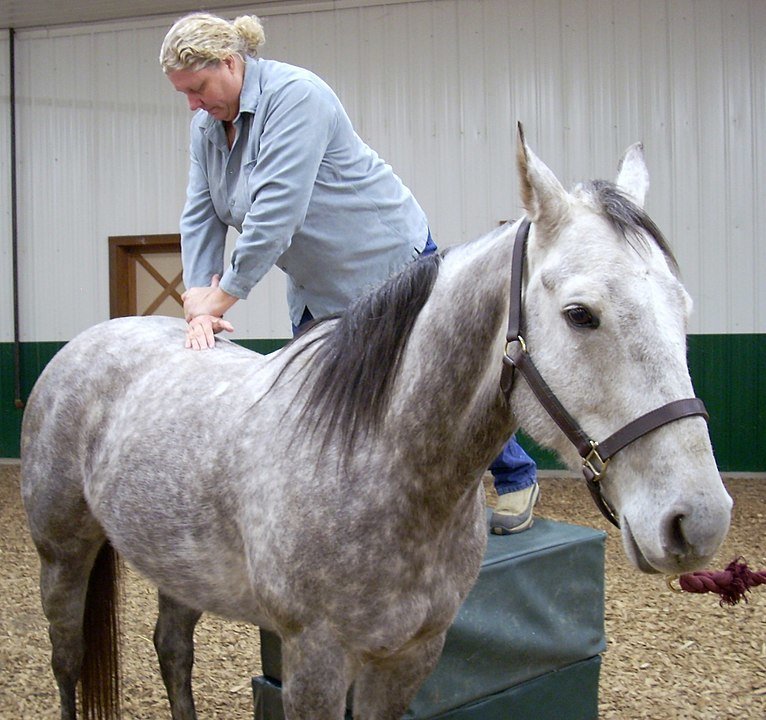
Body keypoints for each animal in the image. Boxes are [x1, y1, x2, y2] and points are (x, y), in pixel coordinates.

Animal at [21, 126, 736, 716]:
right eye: (580, 314)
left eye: (683, 308)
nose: (697, 520)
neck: (381, 464)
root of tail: (83, 345)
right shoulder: (315, 660)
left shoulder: (409, 659)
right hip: (63, 554)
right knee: (67, 659)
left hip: (176, 564)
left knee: (173, 652)